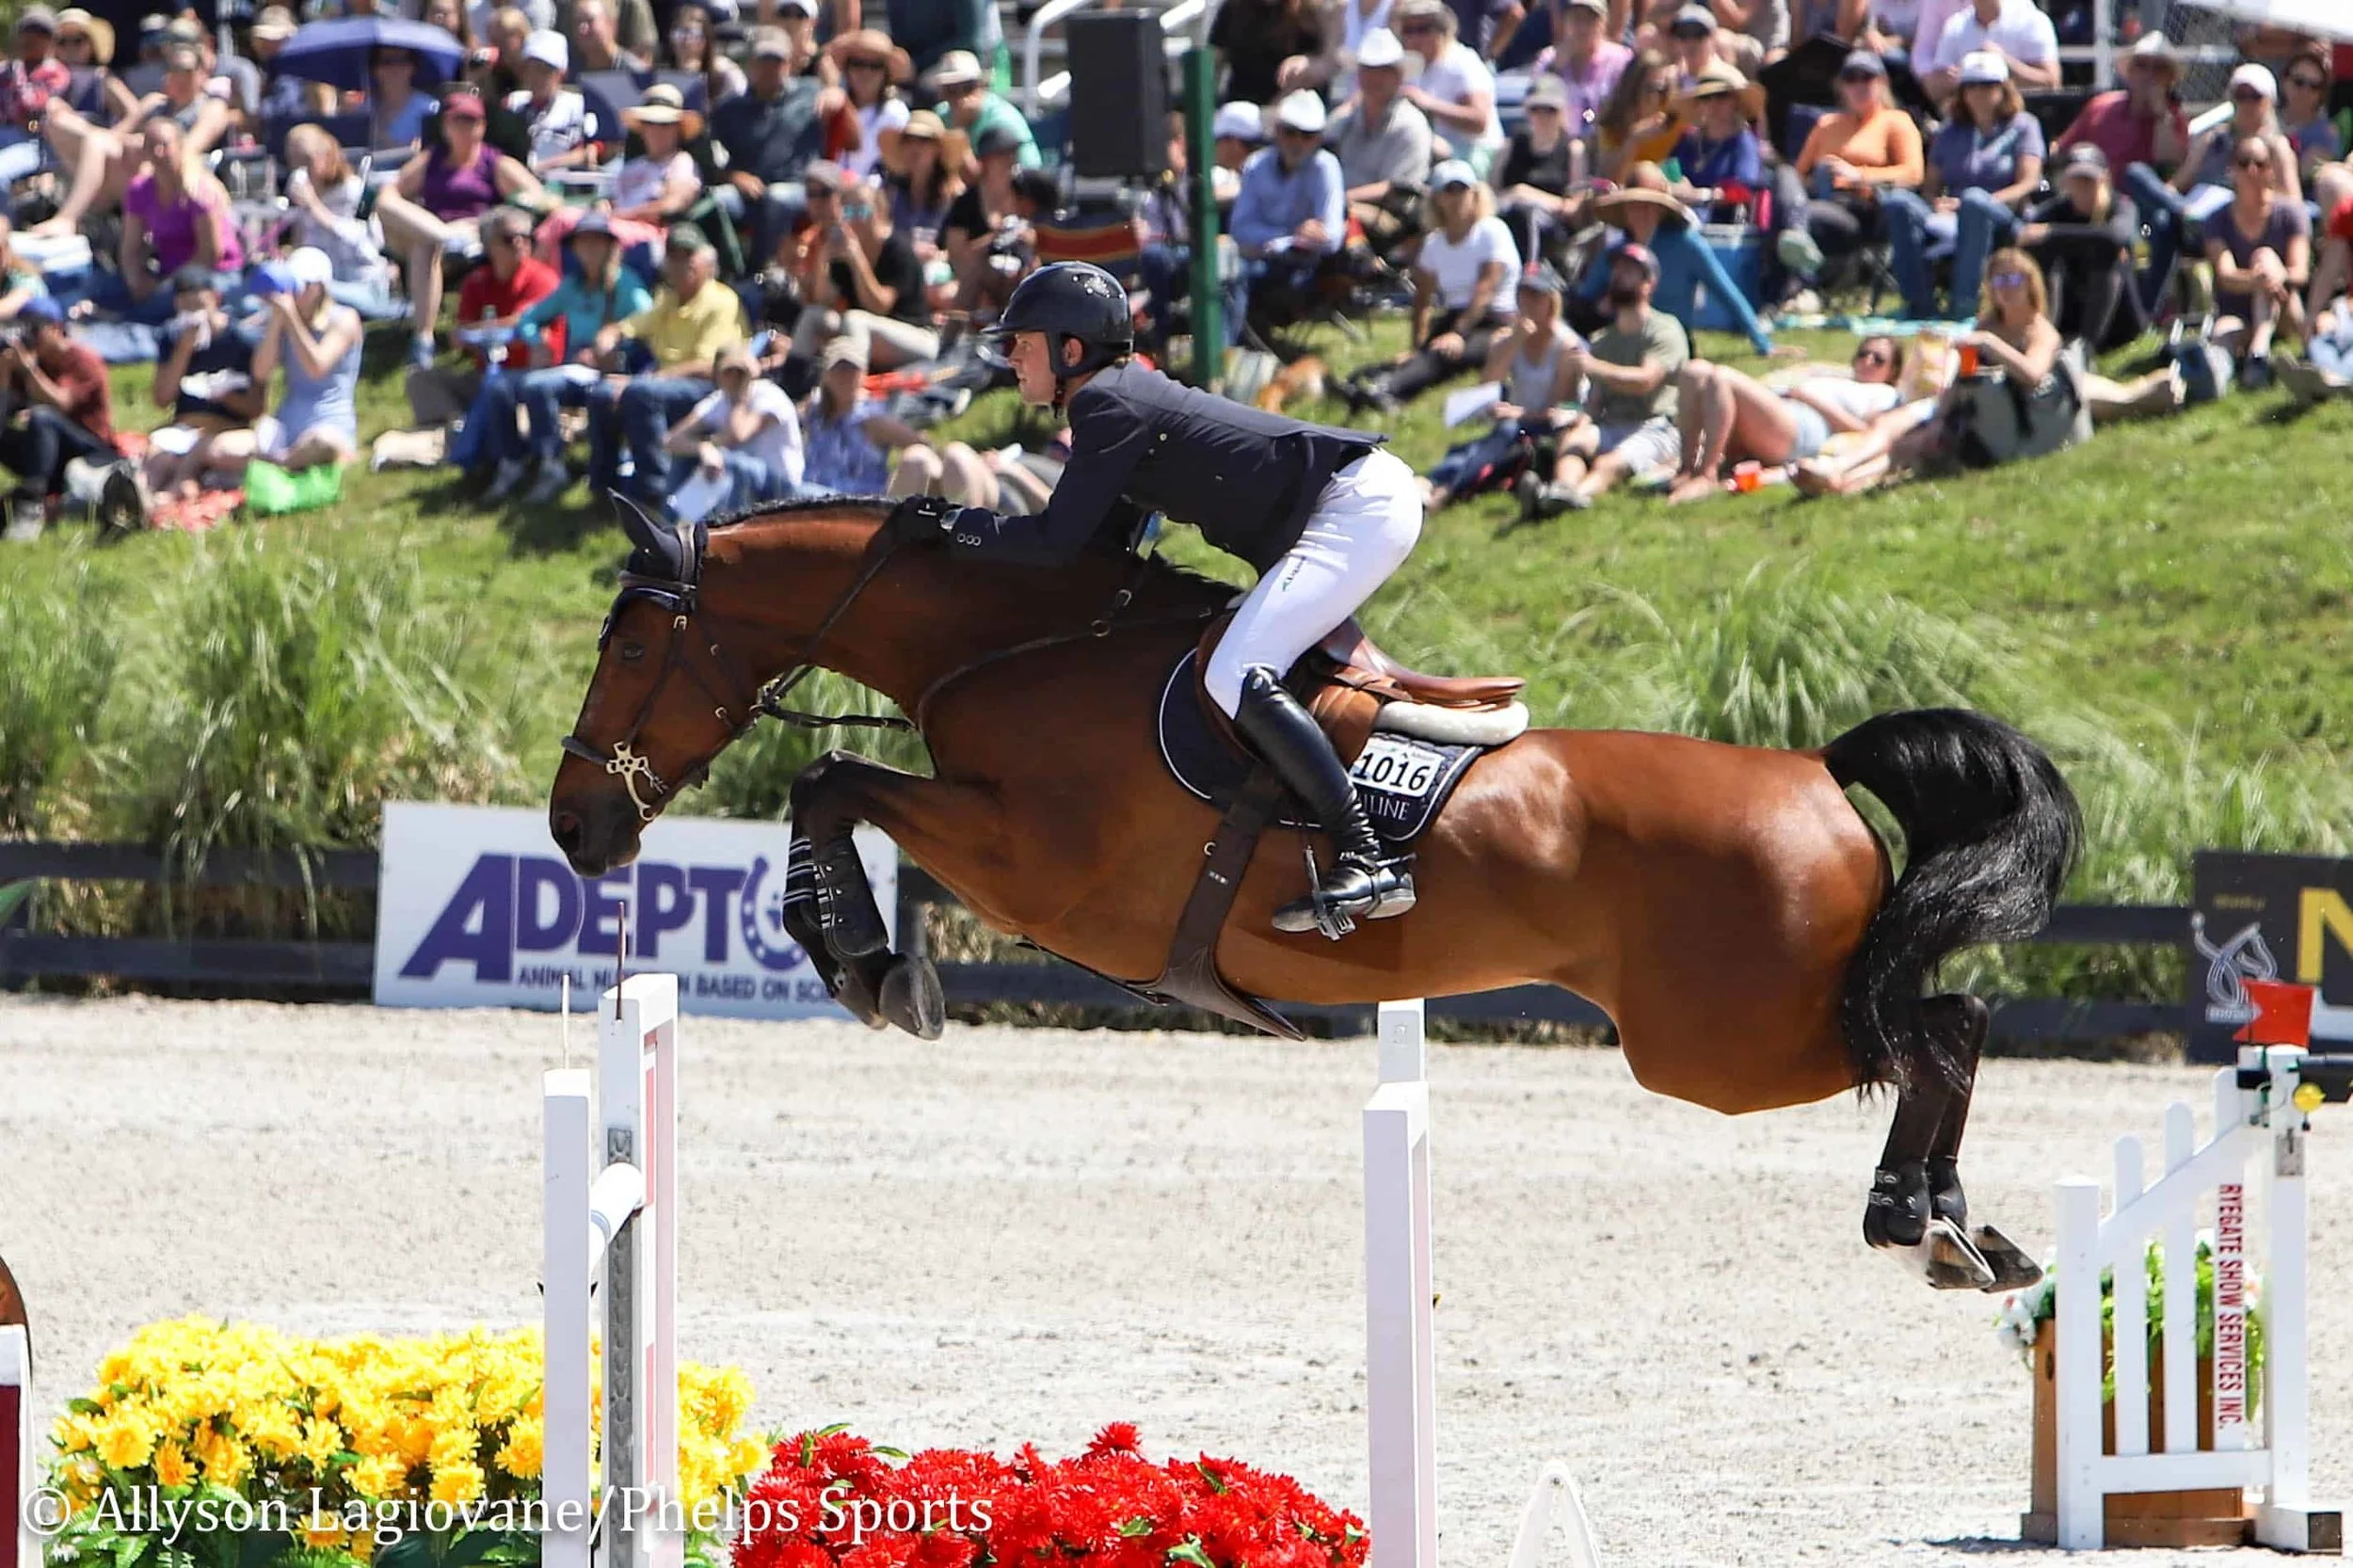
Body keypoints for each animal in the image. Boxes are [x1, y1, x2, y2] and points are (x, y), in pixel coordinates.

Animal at [549, 497, 2081, 1292]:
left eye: (626, 642)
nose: (576, 825)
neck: (1028, 642)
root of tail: (1818, 767)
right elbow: (842, 787)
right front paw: (863, 956)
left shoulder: (1043, 871)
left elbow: (837, 783)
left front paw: (867, 964)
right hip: (1749, 1026)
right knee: (1948, 1024)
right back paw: (1958, 1222)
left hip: (1724, 1043)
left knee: (1930, 1033)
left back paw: (1911, 1216)